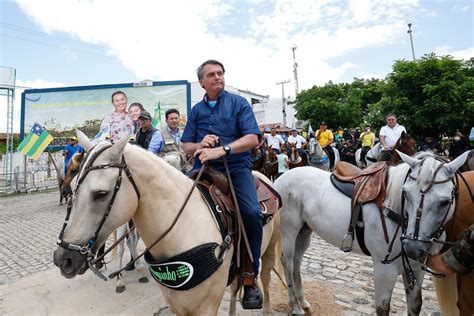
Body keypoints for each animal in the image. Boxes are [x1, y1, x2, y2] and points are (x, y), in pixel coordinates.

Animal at [52, 130, 282, 314]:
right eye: (74, 188)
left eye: (101, 193)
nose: (63, 259)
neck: (183, 230)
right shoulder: (176, 303)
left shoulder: (206, 307)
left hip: (269, 252)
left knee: (265, 282)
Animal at [274, 150, 470, 314]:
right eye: (405, 193)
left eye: (445, 202)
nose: (412, 248)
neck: (395, 211)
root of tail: (281, 179)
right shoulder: (385, 271)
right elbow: (383, 308)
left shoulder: (415, 269)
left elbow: (415, 306)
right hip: (289, 231)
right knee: (288, 263)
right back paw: (295, 307)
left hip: (304, 231)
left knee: (297, 262)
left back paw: (303, 302)